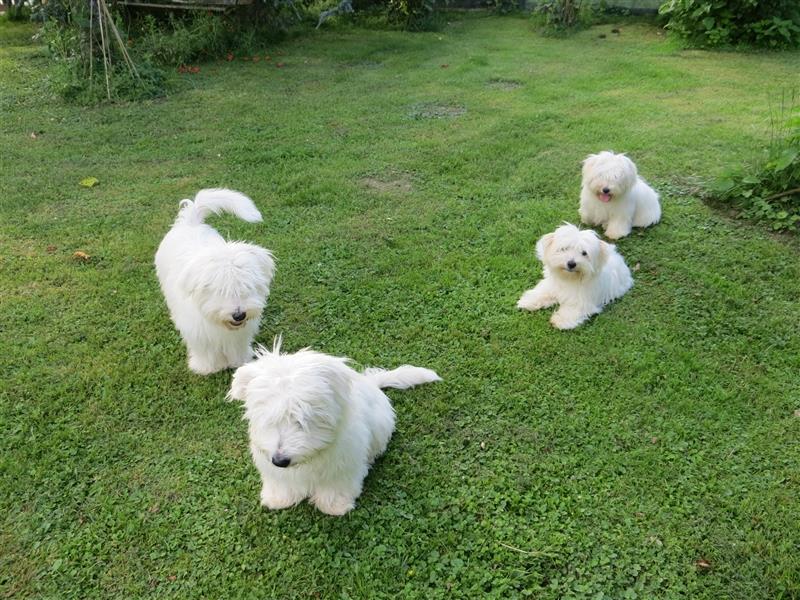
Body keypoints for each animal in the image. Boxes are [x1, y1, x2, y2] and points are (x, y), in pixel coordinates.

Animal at [155, 189, 276, 376]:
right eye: (220, 291)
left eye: (246, 287)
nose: (239, 315)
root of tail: (190, 222)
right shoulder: (198, 332)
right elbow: (205, 351)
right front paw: (206, 367)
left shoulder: (239, 335)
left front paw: (239, 362)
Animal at [230, 342, 444, 516]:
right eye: (268, 418)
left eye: (302, 418)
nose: (280, 460)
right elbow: (282, 482)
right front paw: (279, 499)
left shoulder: (343, 464)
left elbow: (336, 486)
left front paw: (334, 506)